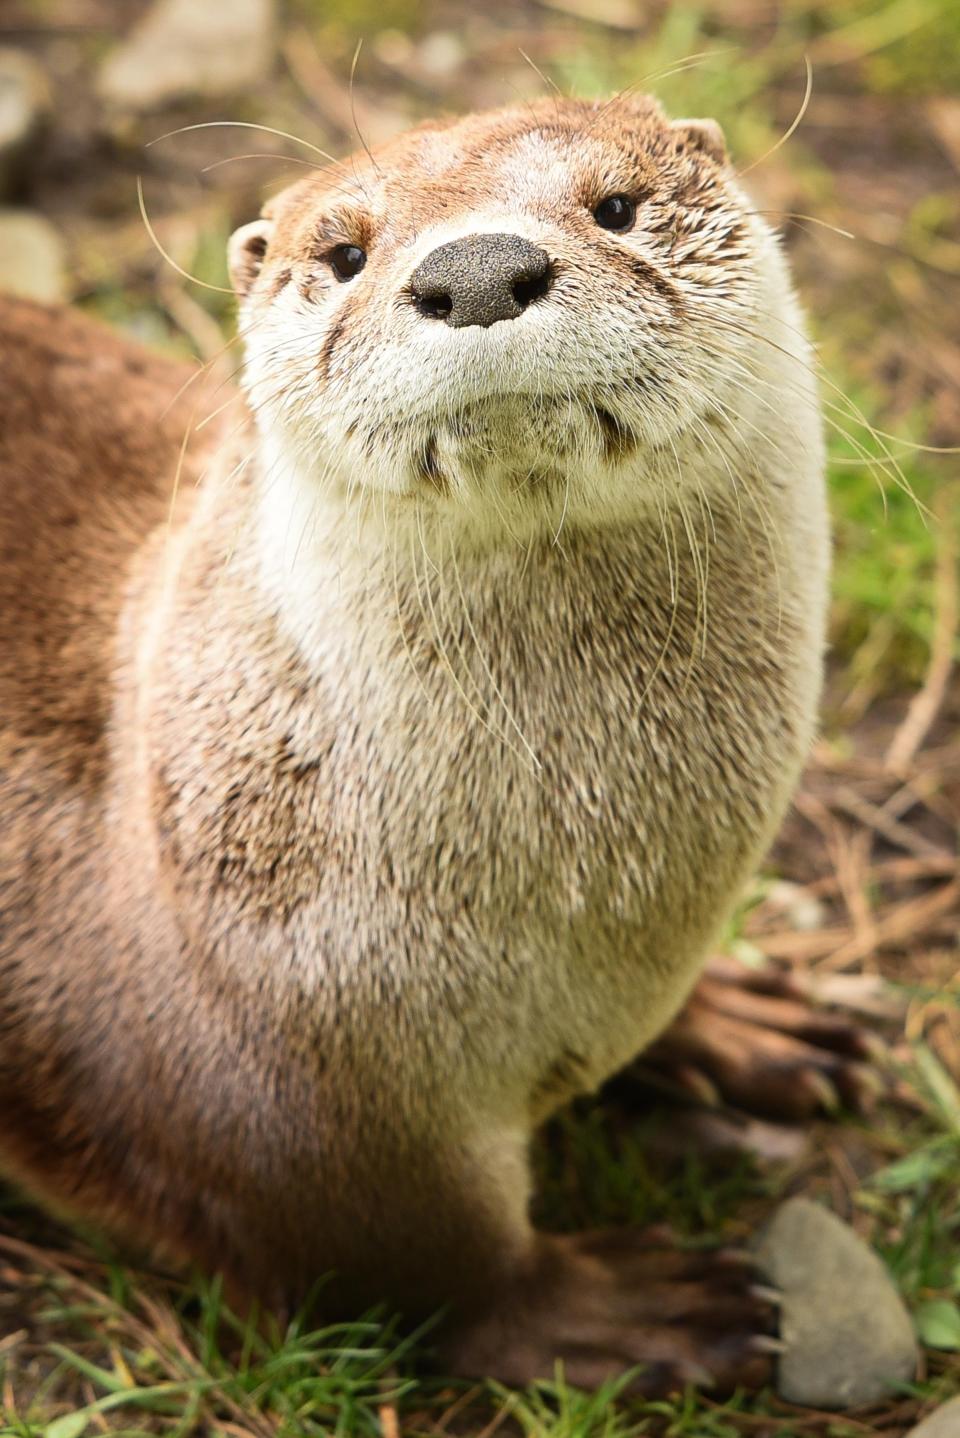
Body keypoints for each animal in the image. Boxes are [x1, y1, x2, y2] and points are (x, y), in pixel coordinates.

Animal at [0, 92, 879, 1391]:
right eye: (344, 255)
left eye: (618, 205)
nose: (473, 270)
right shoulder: (303, 1117)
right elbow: (422, 1265)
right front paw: (606, 1314)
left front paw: (737, 1017)